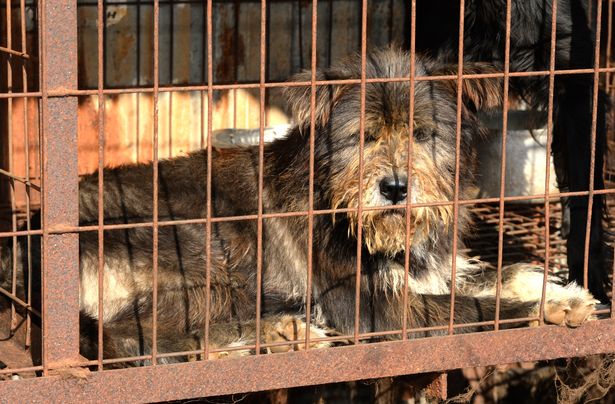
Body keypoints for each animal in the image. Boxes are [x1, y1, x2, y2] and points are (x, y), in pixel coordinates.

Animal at [0, 47, 596, 366]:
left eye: (424, 134)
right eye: (363, 137)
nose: (396, 189)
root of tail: (30, 245)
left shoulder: (428, 270)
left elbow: (497, 274)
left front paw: (556, 287)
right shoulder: (368, 307)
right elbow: (473, 309)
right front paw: (547, 309)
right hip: (204, 259)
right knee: (129, 337)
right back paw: (263, 338)